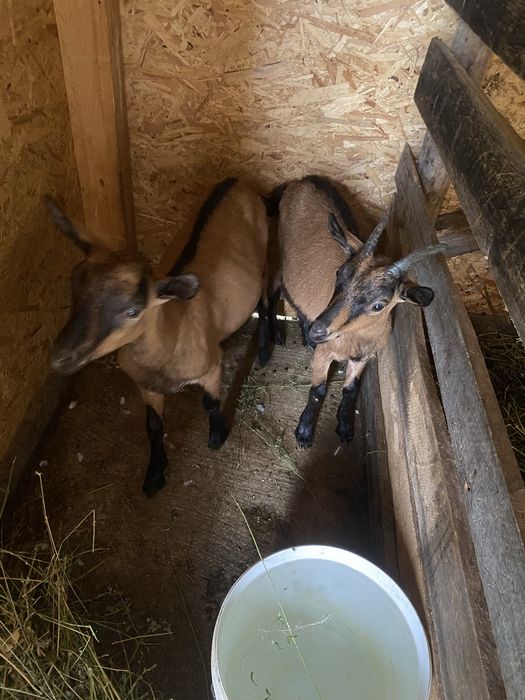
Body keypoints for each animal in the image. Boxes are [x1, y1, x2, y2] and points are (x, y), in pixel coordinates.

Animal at [47, 178, 271, 496]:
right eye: (73, 285)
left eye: (132, 311)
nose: (61, 356)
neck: (173, 333)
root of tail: (238, 181)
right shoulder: (145, 384)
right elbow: (153, 426)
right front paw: (154, 475)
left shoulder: (210, 368)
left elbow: (210, 403)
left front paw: (218, 435)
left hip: (264, 257)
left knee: (266, 298)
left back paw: (263, 349)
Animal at [269, 175, 445, 448]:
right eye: (339, 273)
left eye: (378, 305)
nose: (320, 330)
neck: (354, 339)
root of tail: (301, 180)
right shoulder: (325, 353)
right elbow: (318, 390)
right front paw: (304, 432)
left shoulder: (363, 358)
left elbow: (351, 389)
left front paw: (345, 426)